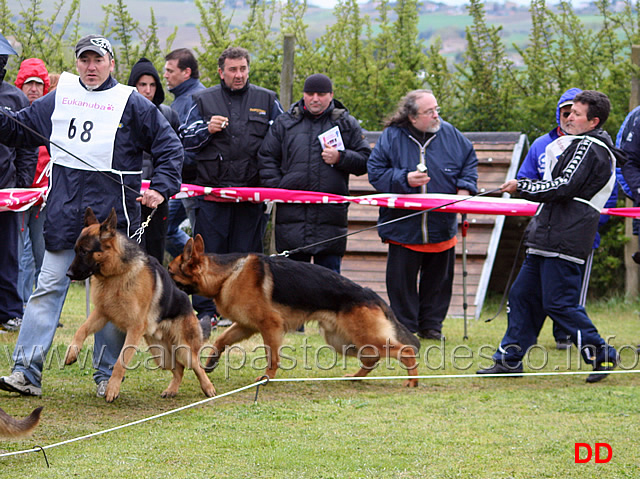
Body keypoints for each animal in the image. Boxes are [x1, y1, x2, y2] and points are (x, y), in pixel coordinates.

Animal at [65, 208, 216, 404]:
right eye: (76, 250)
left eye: (84, 251)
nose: (68, 274)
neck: (117, 274)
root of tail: (190, 308)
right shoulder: (102, 314)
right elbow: (81, 329)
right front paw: (72, 352)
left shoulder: (133, 329)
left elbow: (120, 362)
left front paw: (112, 388)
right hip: (161, 355)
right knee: (179, 369)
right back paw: (172, 390)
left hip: (184, 349)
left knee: (197, 366)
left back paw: (208, 388)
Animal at [170, 234, 420, 388]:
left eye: (170, 273)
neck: (227, 274)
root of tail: (371, 293)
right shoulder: (246, 325)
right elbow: (221, 339)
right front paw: (211, 361)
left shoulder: (270, 326)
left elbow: (272, 357)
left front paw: (267, 378)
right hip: (342, 341)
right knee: (372, 359)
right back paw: (355, 378)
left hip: (361, 337)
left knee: (405, 350)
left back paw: (412, 381)